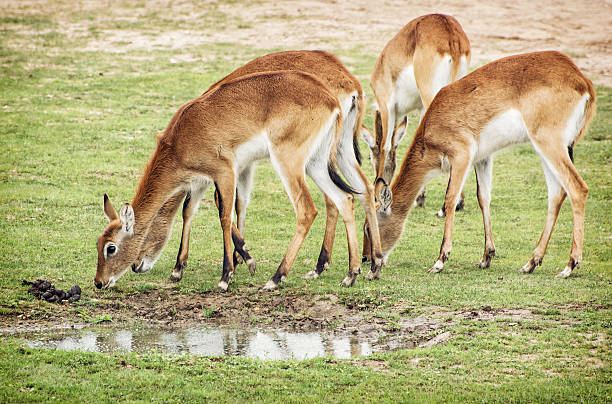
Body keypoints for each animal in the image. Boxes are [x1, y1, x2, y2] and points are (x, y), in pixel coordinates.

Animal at [95, 71, 368, 292]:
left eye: (111, 247)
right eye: (98, 242)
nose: (99, 282)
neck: (181, 137)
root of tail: (332, 100)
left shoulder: (225, 171)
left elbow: (225, 216)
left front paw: (227, 276)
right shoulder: (199, 180)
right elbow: (189, 212)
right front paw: (179, 269)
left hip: (288, 161)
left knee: (307, 209)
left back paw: (276, 278)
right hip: (316, 164)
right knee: (346, 198)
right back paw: (351, 274)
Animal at [360, 13, 470, 215]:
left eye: (369, 157)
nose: (376, 195)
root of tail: (451, 34)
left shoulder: (387, 106)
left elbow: (385, 147)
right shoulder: (419, 109)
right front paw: (419, 198)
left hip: (432, 96)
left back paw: (446, 207)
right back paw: (458, 203)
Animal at [360, 52, 596, 280]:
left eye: (369, 228)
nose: (365, 259)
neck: (432, 126)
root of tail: (583, 82)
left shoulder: (461, 155)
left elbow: (450, 200)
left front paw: (440, 261)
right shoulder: (483, 158)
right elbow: (483, 198)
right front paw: (486, 257)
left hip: (549, 144)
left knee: (578, 189)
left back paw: (569, 266)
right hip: (546, 150)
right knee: (556, 194)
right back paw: (531, 263)